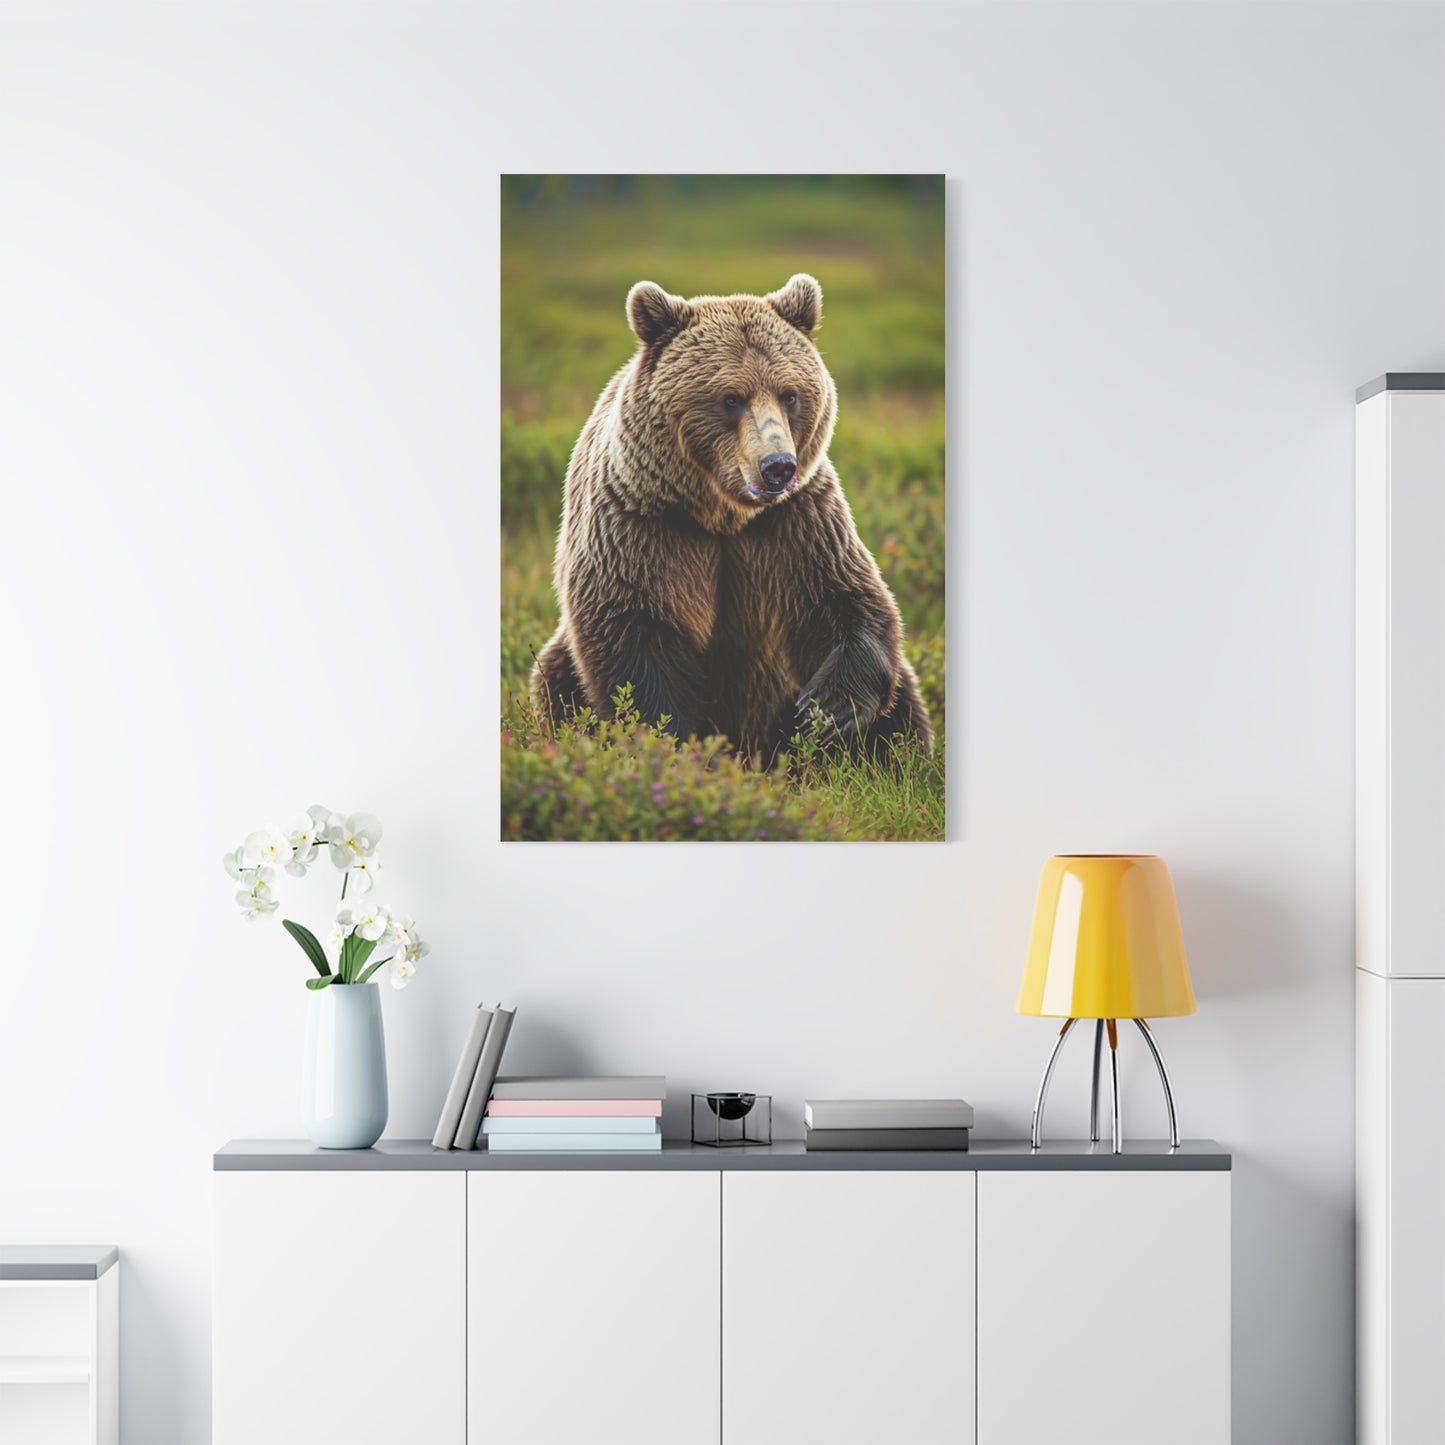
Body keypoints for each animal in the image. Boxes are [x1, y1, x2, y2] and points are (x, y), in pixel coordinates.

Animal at [532, 272, 932, 765]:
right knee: (556, 679)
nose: (778, 465)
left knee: (903, 698)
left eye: (790, 394)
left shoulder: (797, 524)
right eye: (730, 398)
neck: (723, 516)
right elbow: (631, 635)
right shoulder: (640, 527)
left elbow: (847, 597)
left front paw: (827, 709)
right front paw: (673, 744)